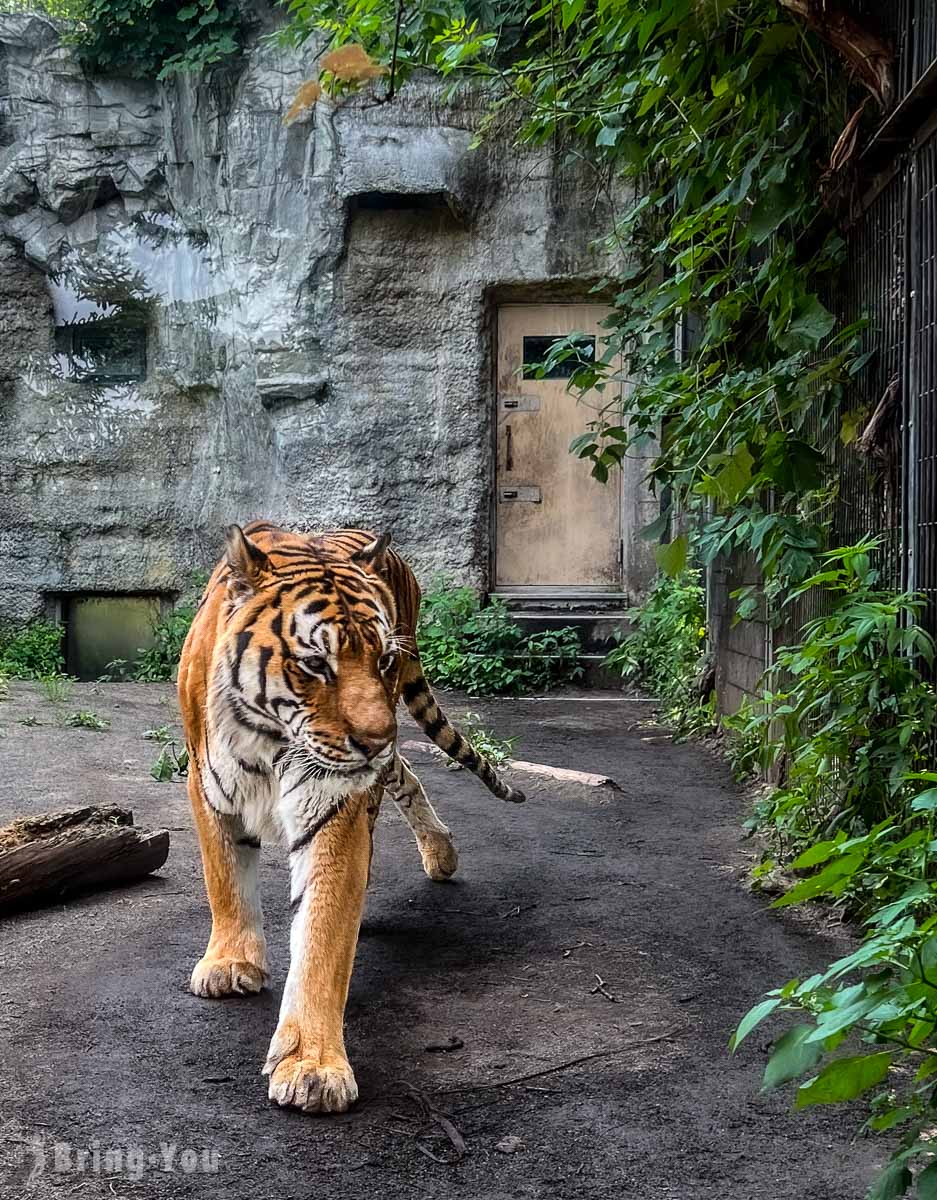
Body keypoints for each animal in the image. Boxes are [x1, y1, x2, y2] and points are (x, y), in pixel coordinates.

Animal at [178, 523, 523, 1113]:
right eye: (316, 663)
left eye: (382, 660)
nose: (376, 739)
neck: (271, 740)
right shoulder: (209, 788)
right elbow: (224, 881)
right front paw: (230, 964)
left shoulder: (336, 803)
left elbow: (322, 932)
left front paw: (313, 1067)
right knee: (404, 773)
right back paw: (440, 851)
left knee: (396, 779)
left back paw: (438, 853)